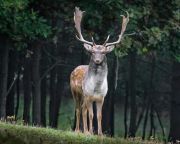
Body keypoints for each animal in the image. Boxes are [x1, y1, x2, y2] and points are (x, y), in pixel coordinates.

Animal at [70, 6, 129, 135]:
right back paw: (78, 130)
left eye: (103, 52)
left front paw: (100, 133)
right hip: (76, 92)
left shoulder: (101, 98)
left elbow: (99, 115)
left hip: (84, 97)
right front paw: (90, 132)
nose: (97, 60)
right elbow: (91, 114)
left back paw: (84, 130)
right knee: (78, 109)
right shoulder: (88, 95)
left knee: (83, 109)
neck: (96, 88)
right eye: (92, 52)